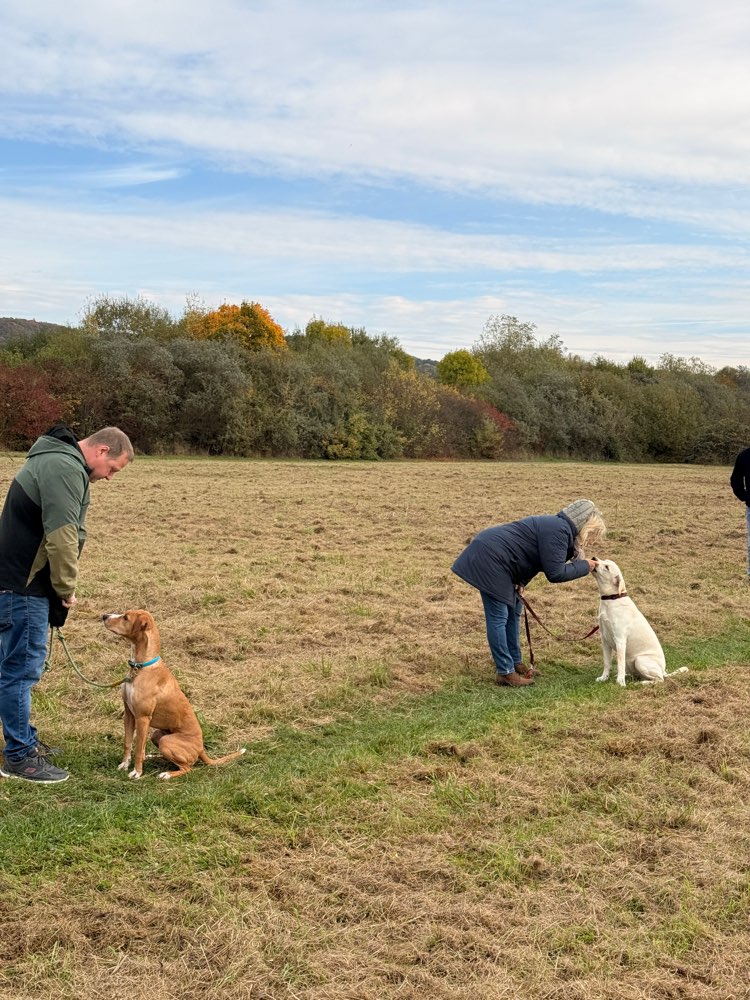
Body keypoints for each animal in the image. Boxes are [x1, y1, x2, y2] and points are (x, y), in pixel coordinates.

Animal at [102, 609, 246, 779]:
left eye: (125, 618)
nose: (104, 616)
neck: (141, 666)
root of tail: (201, 749)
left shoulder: (142, 718)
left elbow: (137, 748)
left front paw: (137, 772)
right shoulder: (129, 714)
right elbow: (128, 742)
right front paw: (125, 764)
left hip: (167, 741)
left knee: (187, 768)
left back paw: (167, 774)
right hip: (157, 734)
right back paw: (151, 756)